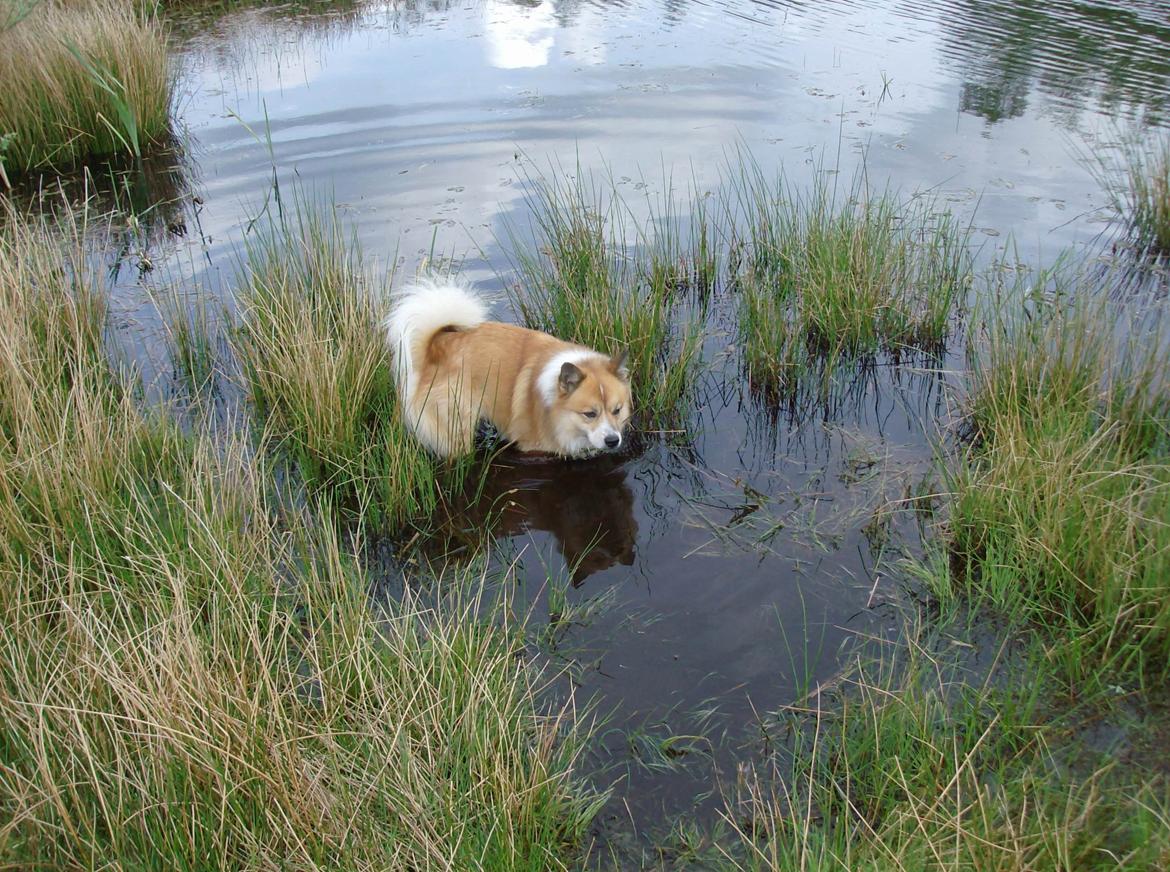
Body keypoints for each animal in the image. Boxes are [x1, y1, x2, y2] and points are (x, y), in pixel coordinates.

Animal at [386, 278, 631, 456]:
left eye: (617, 410)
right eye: (590, 414)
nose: (612, 440)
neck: (554, 404)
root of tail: (436, 347)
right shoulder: (534, 445)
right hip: (456, 422)